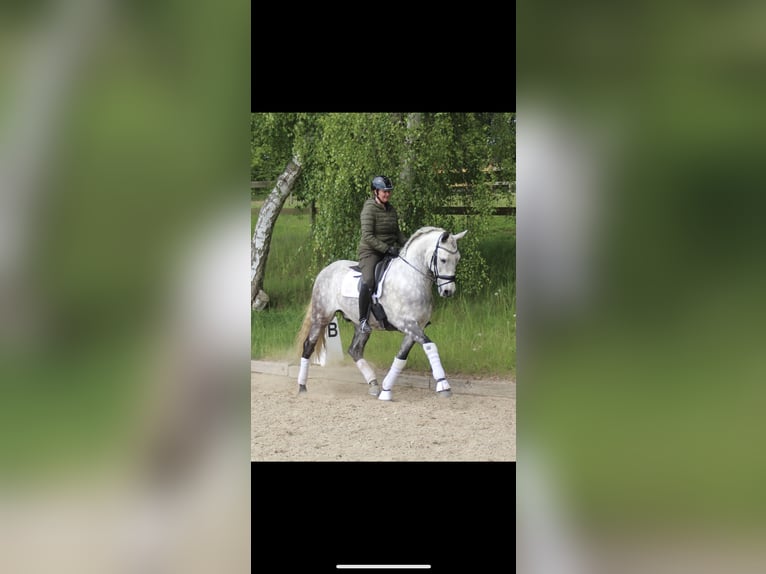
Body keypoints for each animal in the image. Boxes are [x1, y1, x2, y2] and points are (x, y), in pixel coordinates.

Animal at [295, 226, 468, 400]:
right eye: (443, 259)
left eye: (458, 259)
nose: (448, 291)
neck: (411, 278)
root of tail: (325, 270)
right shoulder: (407, 324)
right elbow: (430, 346)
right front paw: (443, 385)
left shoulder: (416, 328)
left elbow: (401, 357)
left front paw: (386, 390)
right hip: (321, 317)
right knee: (308, 346)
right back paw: (302, 386)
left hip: (361, 325)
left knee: (355, 350)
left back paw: (373, 384)